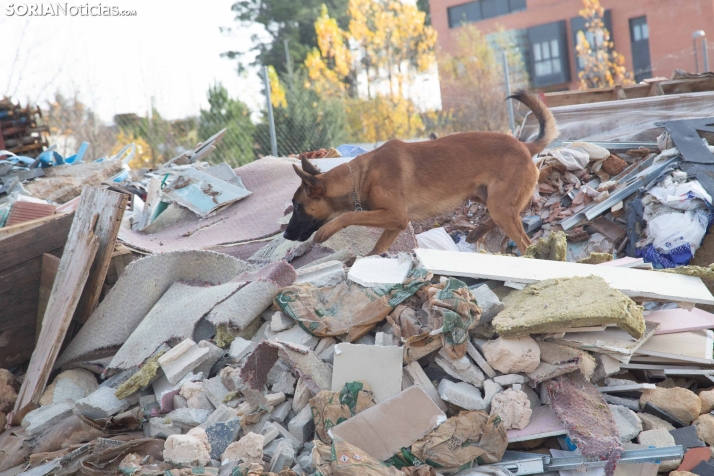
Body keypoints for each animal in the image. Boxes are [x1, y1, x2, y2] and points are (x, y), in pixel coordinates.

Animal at [282, 92, 556, 256]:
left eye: (298, 207)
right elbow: (376, 248)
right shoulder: (394, 224)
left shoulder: (394, 216)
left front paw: (325, 232)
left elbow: (349, 216)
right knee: (510, 214)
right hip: (483, 196)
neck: (358, 178)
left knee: (523, 239)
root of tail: (524, 146)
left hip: (498, 203)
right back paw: (478, 231)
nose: (285, 234)